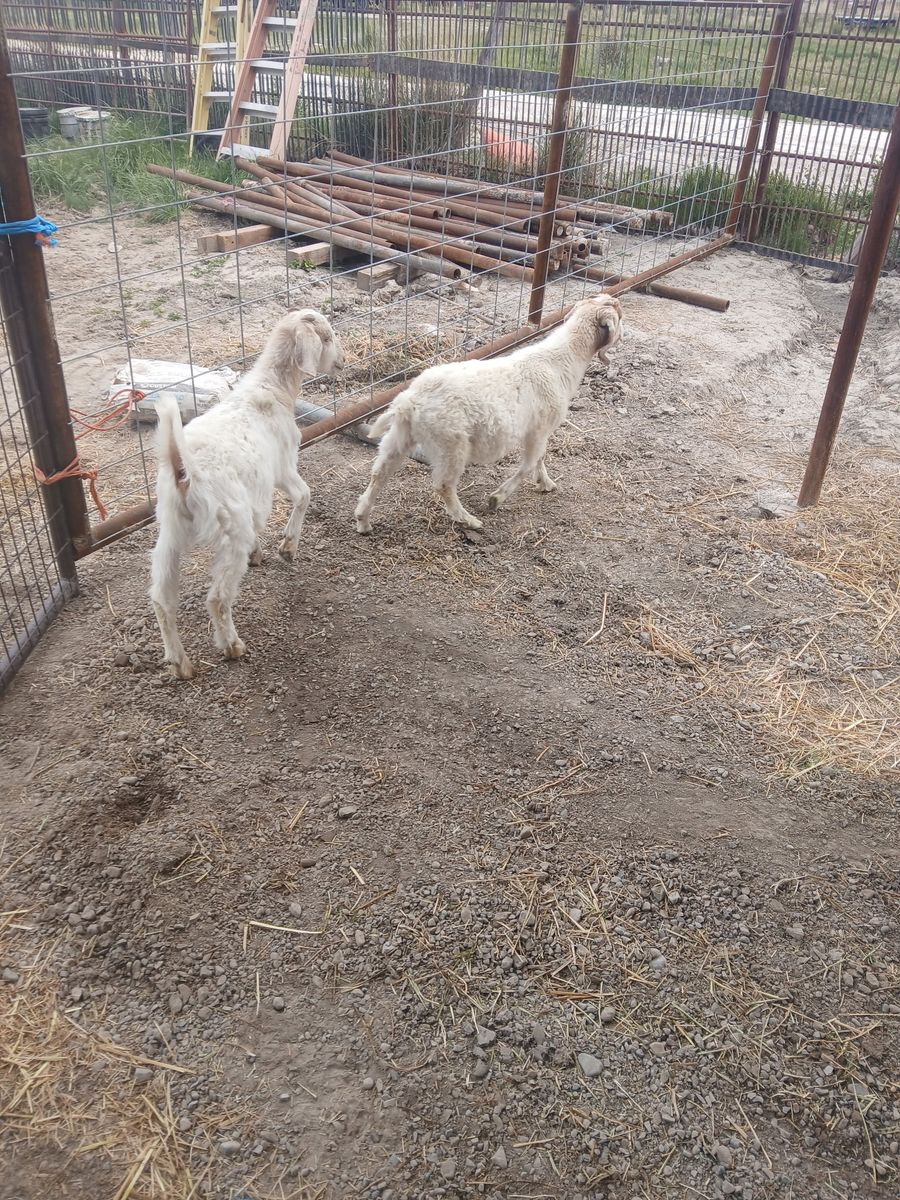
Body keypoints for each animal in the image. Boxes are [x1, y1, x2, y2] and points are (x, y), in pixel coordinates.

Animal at [149, 309, 343, 679]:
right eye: (326, 337)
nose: (341, 361)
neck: (272, 389)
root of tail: (185, 471)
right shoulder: (282, 466)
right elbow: (304, 495)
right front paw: (287, 546)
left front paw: (261, 551)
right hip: (229, 525)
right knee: (217, 598)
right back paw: (232, 646)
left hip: (170, 530)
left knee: (162, 599)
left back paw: (180, 663)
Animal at [354, 294, 622, 535]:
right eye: (618, 315)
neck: (559, 361)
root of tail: (409, 402)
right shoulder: (538, 429)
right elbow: (529, 463)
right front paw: (497, 498)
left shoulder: (540, 431)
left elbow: (539, 459)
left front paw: (545, 483)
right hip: (451, 445)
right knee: (443, 484)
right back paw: (468, 520)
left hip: (399, 438)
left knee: (379, 473)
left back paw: (363, 521)